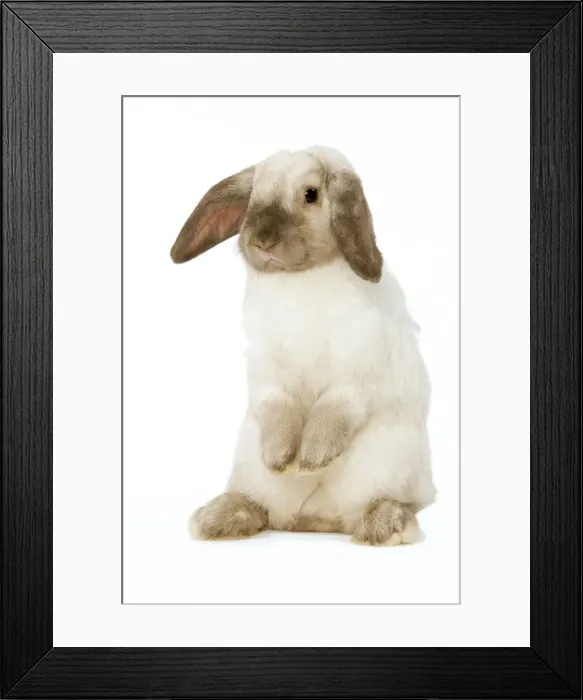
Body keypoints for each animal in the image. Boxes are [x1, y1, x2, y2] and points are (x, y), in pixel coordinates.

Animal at [171, 146, 436, 546]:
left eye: (311, 194)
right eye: (253, 193)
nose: (262, 240)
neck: (300, 279)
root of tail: (315, 519)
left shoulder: (358, 370)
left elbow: (334, 408)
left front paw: (312, 458)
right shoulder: (268, 372)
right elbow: (278, 407)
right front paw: (281, 459)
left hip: (388, 462)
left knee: (381, 503)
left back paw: (385, 525)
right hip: (251, 469)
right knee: (261, 507)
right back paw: (217, 519)